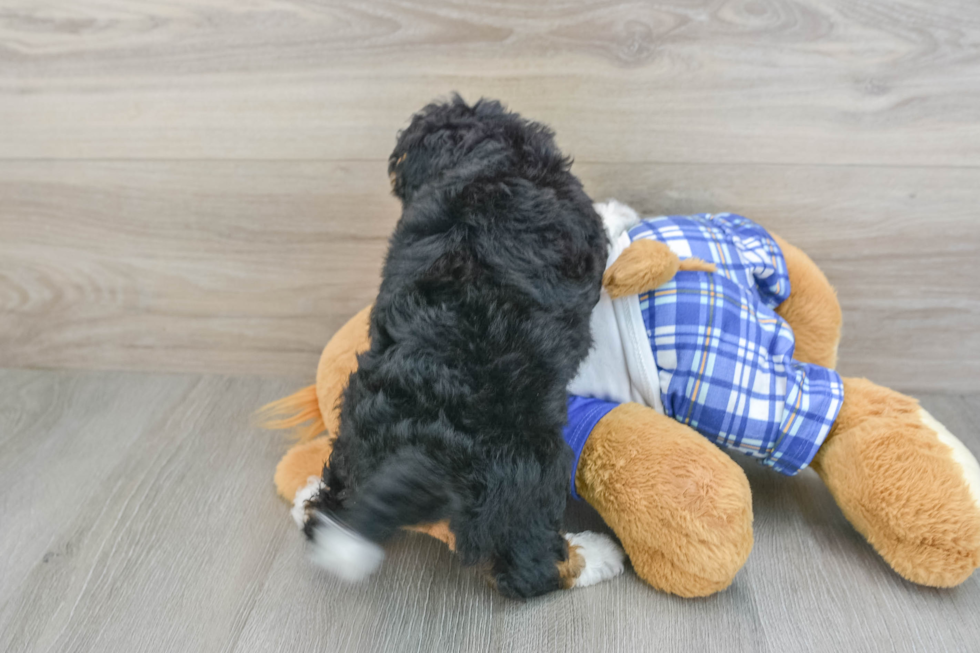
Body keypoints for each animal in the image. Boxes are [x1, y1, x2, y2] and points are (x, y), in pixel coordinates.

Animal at [298, 94, 624, 600]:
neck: (486, 156)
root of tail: (425, 448)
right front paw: (619, 210)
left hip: (352, 440)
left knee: (333, 503)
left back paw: (308, 499)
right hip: (532, 470)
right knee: (528, 568)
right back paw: (596, 556)